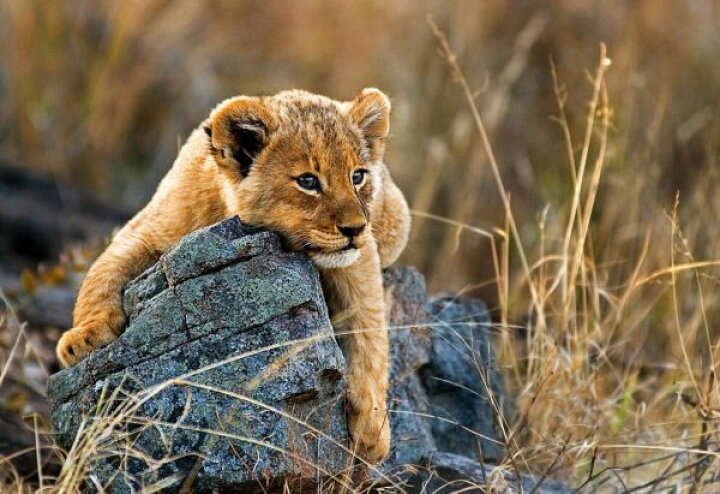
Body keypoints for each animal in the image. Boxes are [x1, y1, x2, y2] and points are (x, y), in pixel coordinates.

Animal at [55, 88, 410, 463]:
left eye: (357, 176)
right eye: (308, 181)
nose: (356, 228)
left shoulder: (359, 261)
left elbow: (370, 333)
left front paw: (372, 431)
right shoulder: (146, 229)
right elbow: (101, 274)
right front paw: (82, 339)